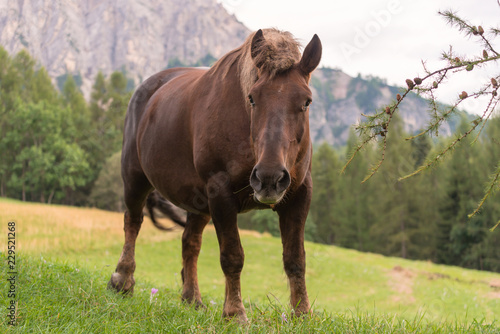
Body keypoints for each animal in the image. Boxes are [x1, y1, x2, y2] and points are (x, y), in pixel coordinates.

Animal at [107, 28, 322, 320]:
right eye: (252, 98)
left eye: (306, 102)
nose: (269, 178)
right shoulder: (220, 191)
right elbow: (232, 256)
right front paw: (235, 314)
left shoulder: (299, 194)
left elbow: (295, 259)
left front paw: (302, 315)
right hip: (135, 178)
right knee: (133, 222)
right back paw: (122, 280)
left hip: (198, 201)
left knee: (190, 241)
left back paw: (192, 298)